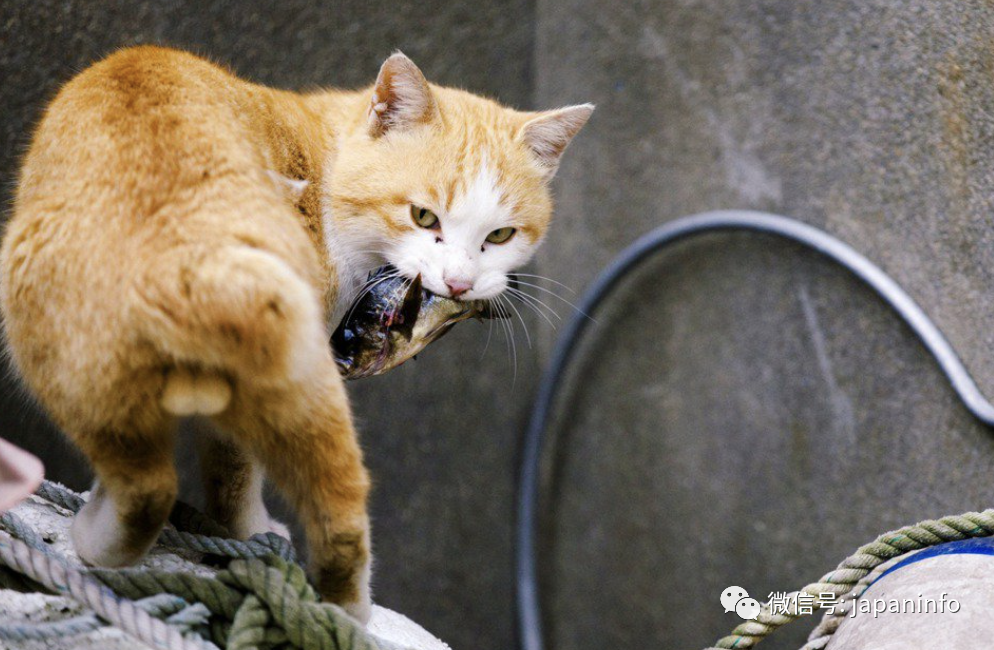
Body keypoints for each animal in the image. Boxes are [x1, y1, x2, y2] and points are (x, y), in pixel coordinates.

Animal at [0, 45, 588, 616]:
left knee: (154, 484)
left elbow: (231, 470)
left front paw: (244, 534)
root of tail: (184, 234)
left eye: (501, 235)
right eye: (424, 217)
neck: (326, 172)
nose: (460, 284)